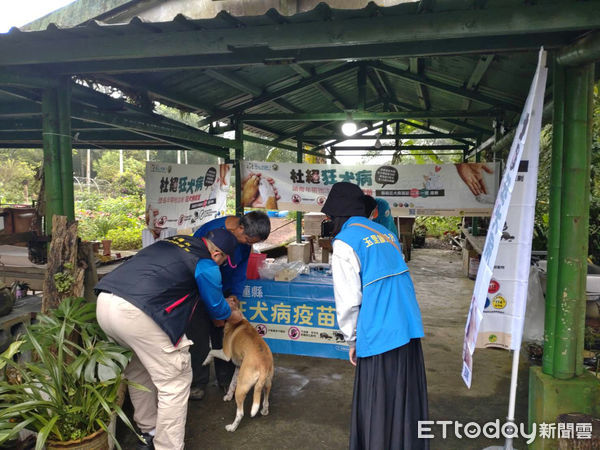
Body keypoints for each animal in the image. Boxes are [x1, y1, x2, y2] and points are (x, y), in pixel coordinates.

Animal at [204, 298, 274, 430]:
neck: (238, 319)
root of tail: (263, 365)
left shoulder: (225, 354)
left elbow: (211, 351)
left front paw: (205, 362)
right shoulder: (238, 366)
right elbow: (232, 383)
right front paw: (228, 396)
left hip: (242, 387)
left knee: (240, 413)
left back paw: (232, 427)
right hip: (265, 383)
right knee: (266, 399)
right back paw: (264, 411)